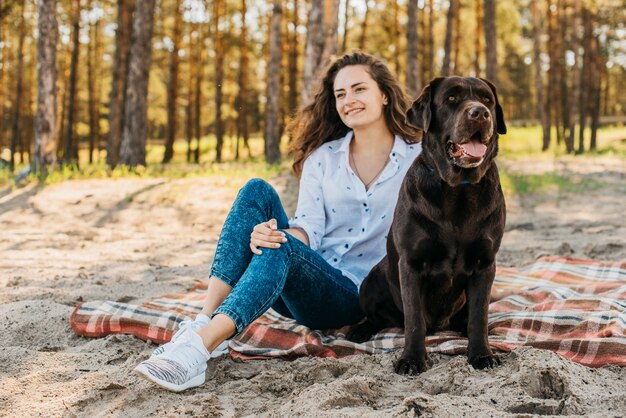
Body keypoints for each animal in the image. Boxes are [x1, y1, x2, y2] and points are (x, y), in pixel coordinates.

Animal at [346, 77, 508, 376]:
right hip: (371, 282)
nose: (480, 113)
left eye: (487, 99)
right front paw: (411, 359)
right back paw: (359, 330)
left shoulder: (485, 263)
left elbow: (478, 316)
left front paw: (482, 354)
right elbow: (414, 319)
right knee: (380, 318)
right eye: (452, 99)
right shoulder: (411, 263)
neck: (458, 190)